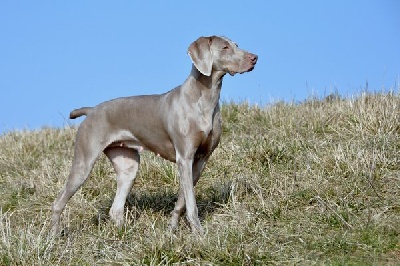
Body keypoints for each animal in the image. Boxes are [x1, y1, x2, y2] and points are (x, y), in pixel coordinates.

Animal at [51, 35, 258, 235]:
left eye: (236, 44)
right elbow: (191, 203)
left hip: (128, 166)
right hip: (83, 163)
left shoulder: (200, 160)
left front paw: (171, 230)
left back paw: (125, 236)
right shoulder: (185, 158)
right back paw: (53, 237)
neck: (205, 98)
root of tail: (91, 110)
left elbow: (182, 200)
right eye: (225, 47)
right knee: (58, 203)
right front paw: (199, 234)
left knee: (115, 209)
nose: (255, 57)